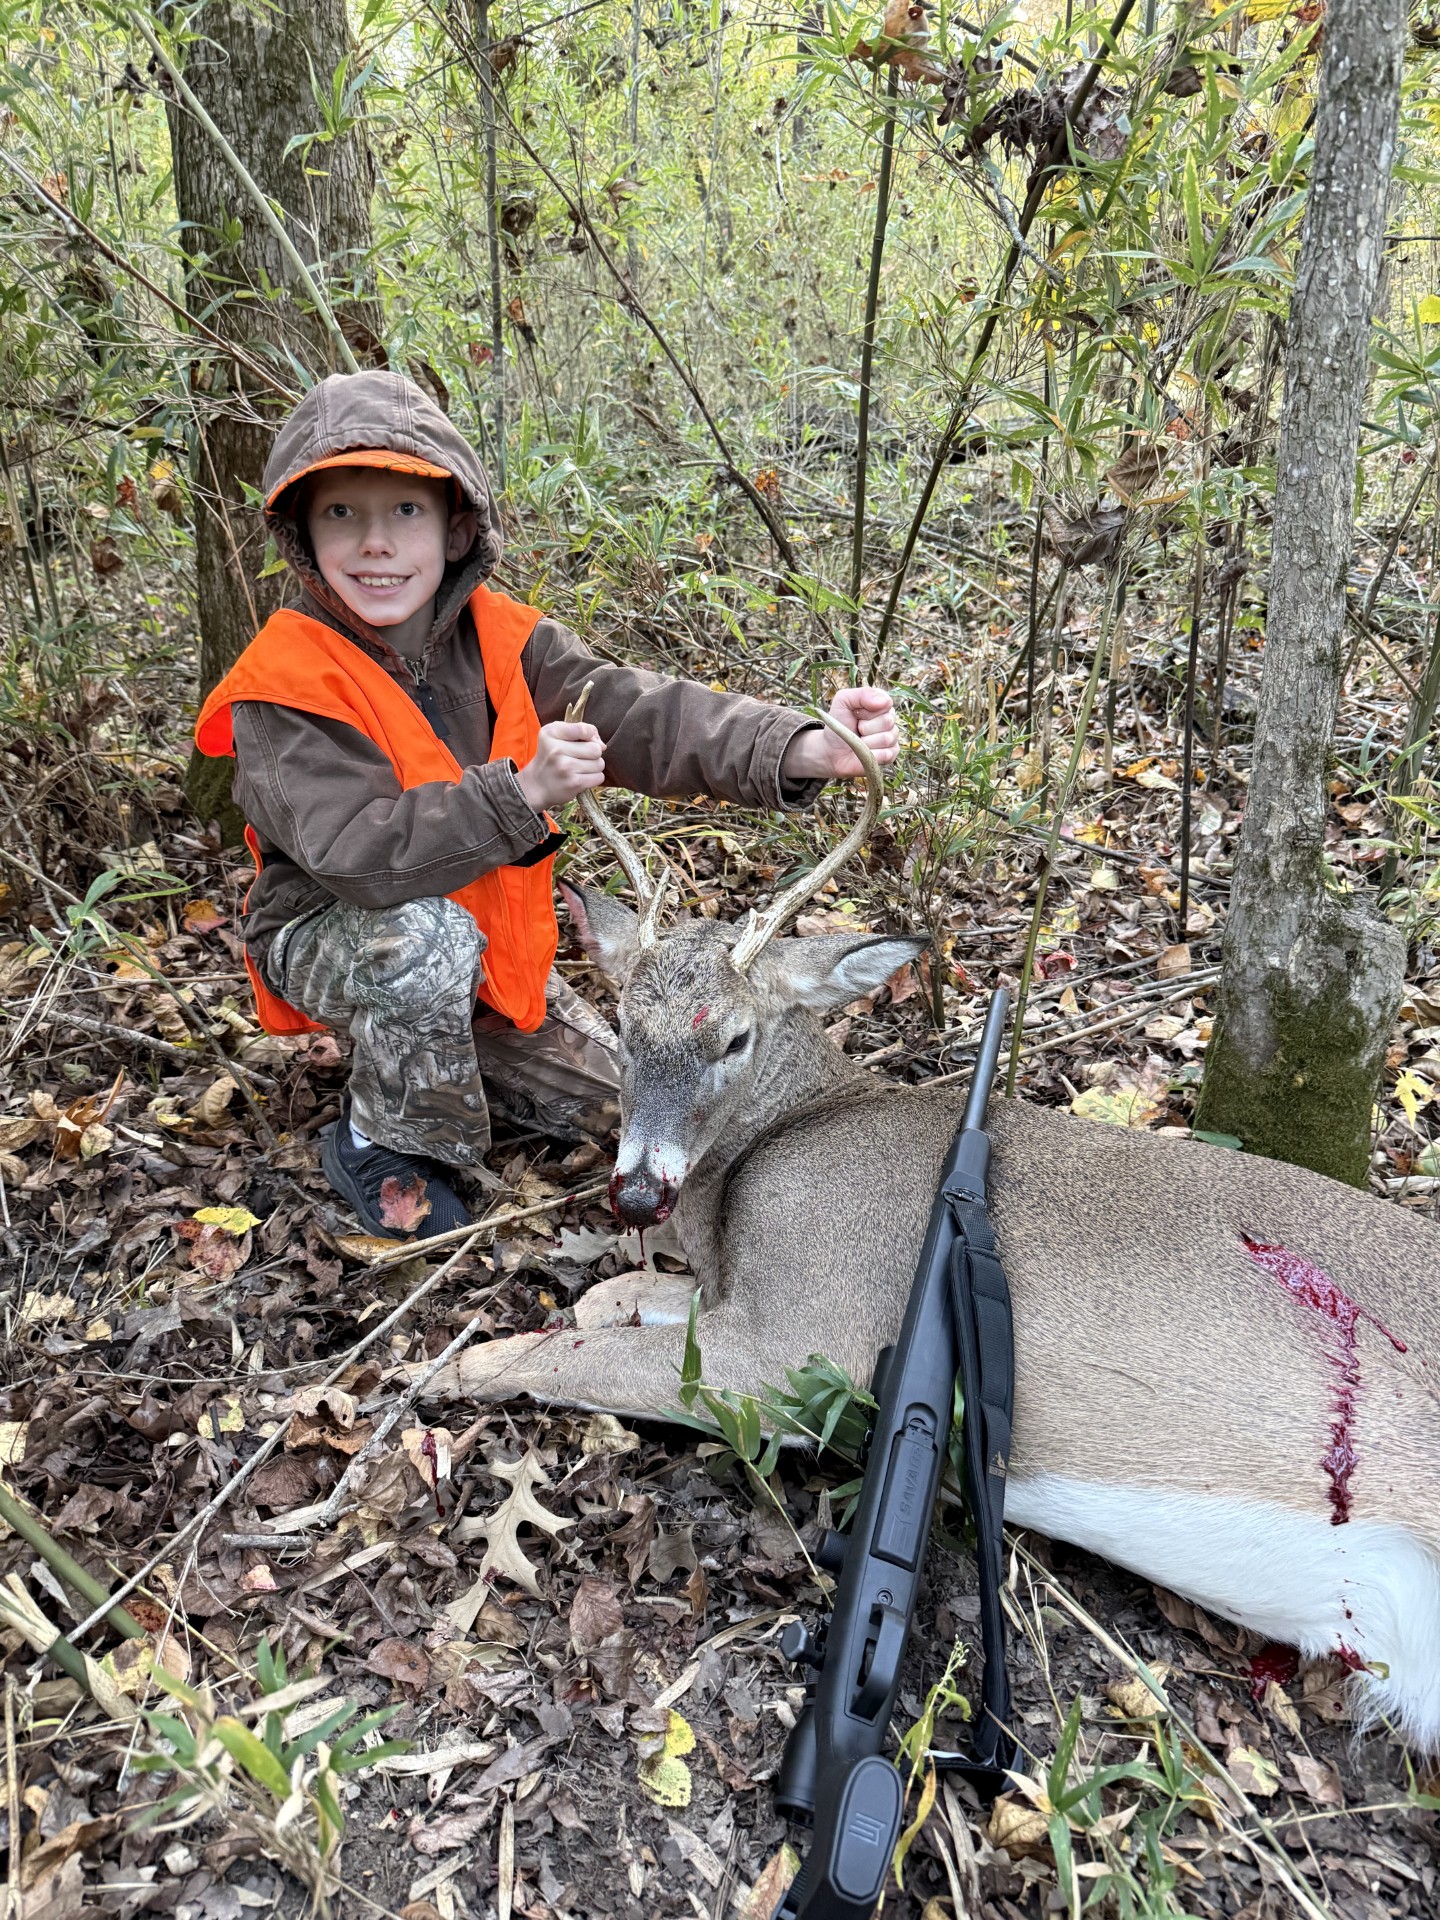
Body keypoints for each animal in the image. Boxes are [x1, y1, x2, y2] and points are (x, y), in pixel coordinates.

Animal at [427, 717, 1440, 1756]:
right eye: (625, 1025)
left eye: (736, 1040)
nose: (635, 1192)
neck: (775, 1151)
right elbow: (607, 1299)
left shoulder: (806, 1340)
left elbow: (580, 1354)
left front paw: (443, 1372)